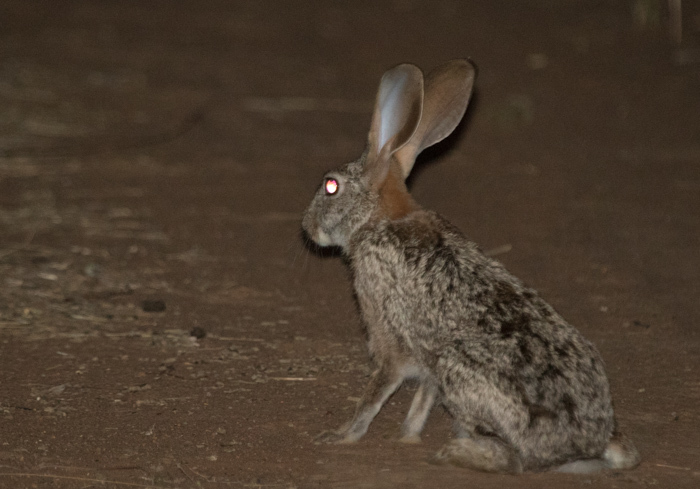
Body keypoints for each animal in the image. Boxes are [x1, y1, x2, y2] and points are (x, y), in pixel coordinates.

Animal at [300, 58, 640, 472]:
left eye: (330, 186)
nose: (306, 226)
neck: (380, 218)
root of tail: (586, 441)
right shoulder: (426, 360)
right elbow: (423, 395)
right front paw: (407, 436)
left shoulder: (387, 333)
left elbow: (378, 389)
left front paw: (341, 436)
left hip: (460, 372)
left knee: (513, 458)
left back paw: (455, 452)